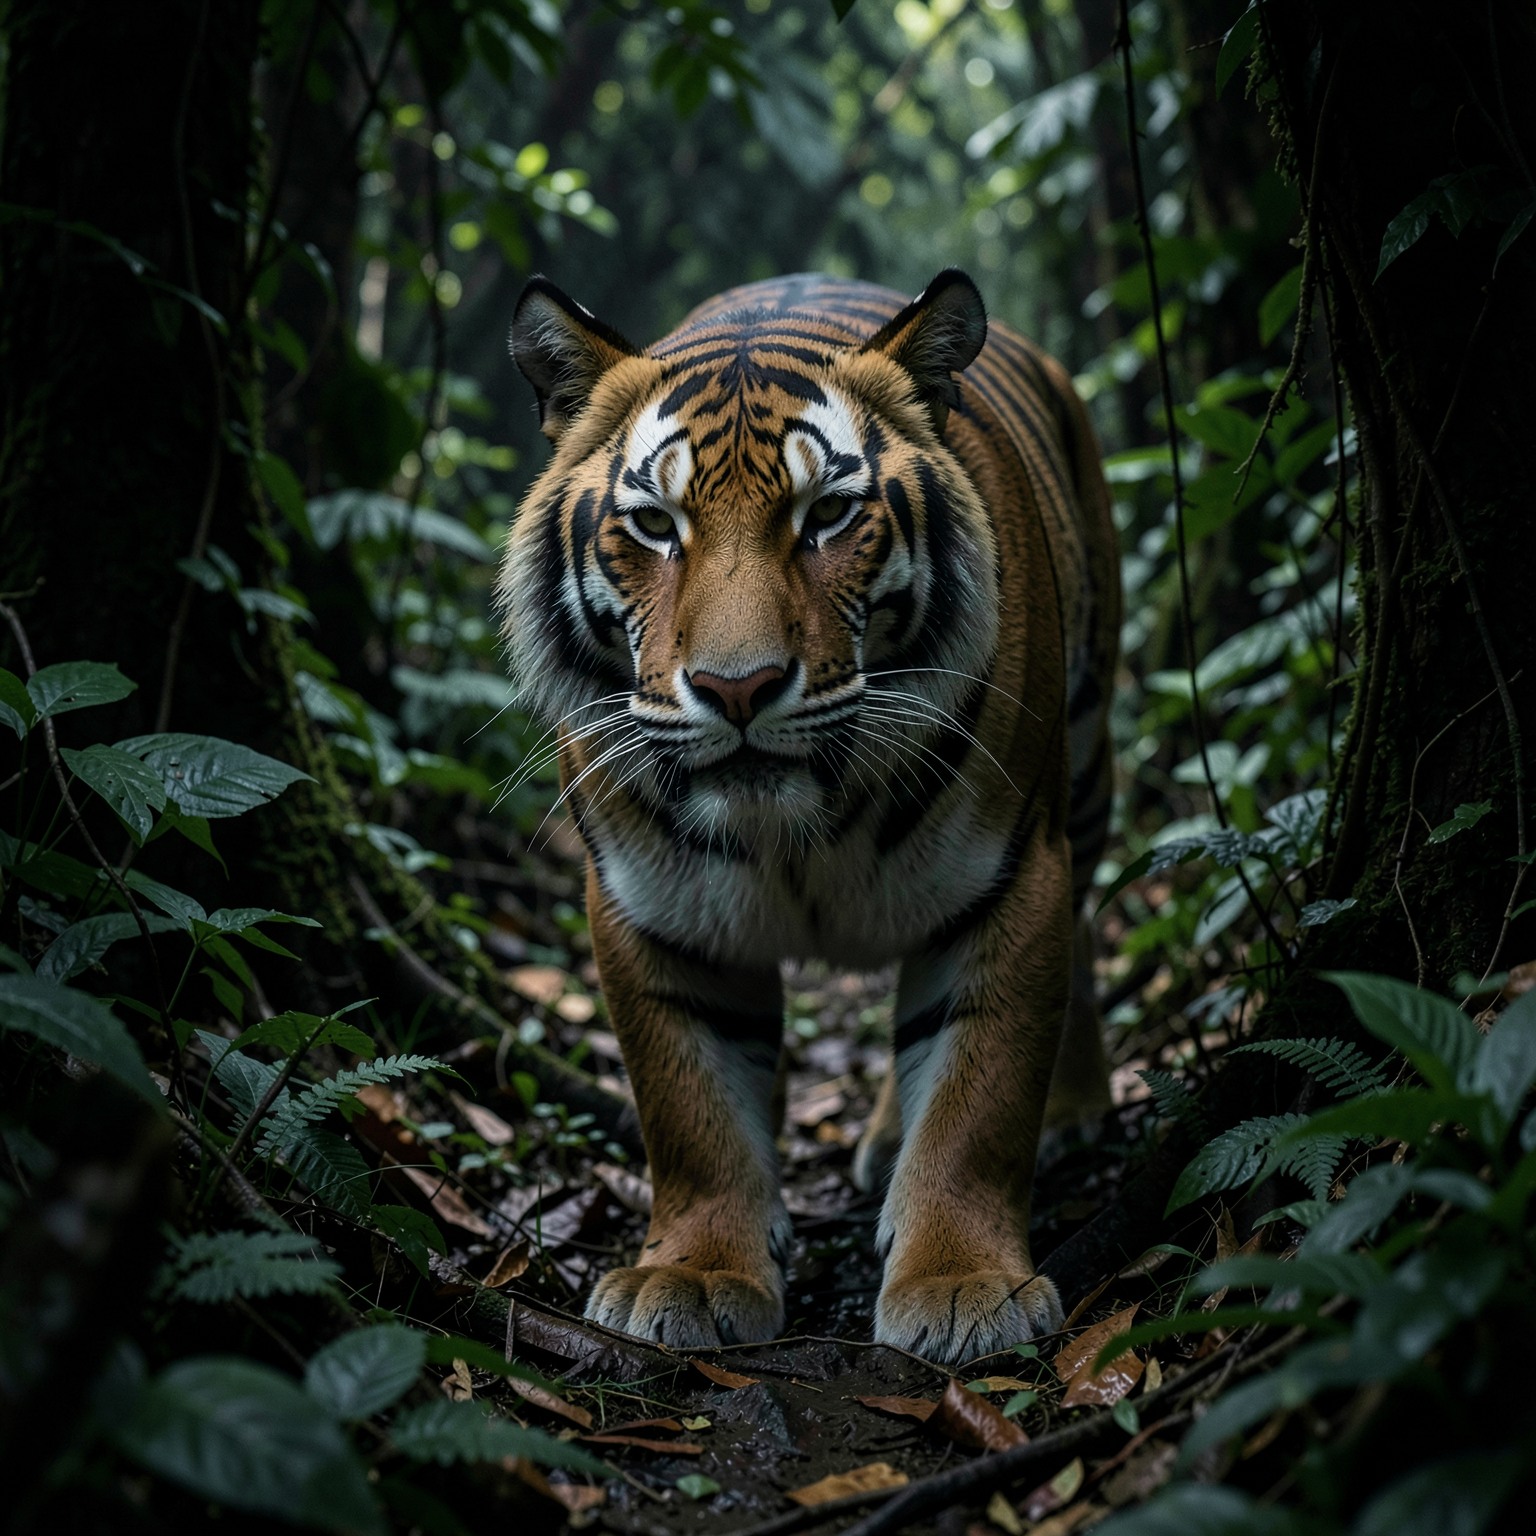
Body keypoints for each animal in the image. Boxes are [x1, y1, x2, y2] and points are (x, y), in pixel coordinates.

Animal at [498, 268, 1120, 1364]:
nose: (736, 688)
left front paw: (962, 1285)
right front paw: (694, 1276)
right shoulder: (649, 908)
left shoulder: (1015, 874)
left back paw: (1074, 1107)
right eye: (655, 526)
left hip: (1082, 766)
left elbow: (980, 1097)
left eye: (828, 514)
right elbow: (691, 1110)